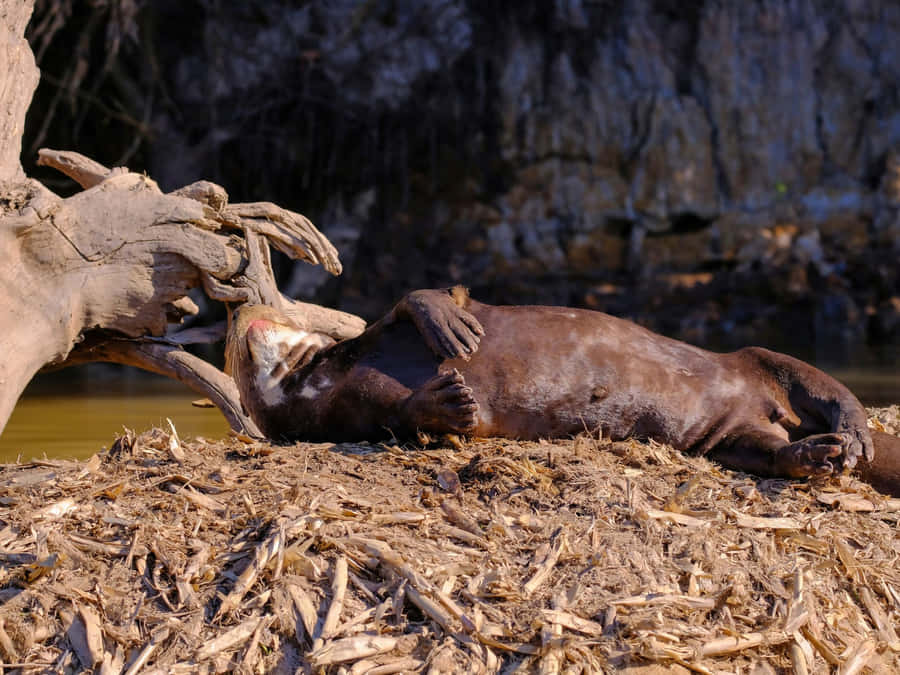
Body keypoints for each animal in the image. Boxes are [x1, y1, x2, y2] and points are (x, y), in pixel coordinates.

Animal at [226, 288, 900, 495]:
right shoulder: (348, 414)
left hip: (757, 361)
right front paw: (450, 403)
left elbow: (413, 300)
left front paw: (447, 322)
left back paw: (853, 431)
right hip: (731, 436)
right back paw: (817, 454)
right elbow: (402, 415)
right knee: (766, 450)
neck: (330, 372)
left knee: (816, 380)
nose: (239, 312)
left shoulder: (367, 336)